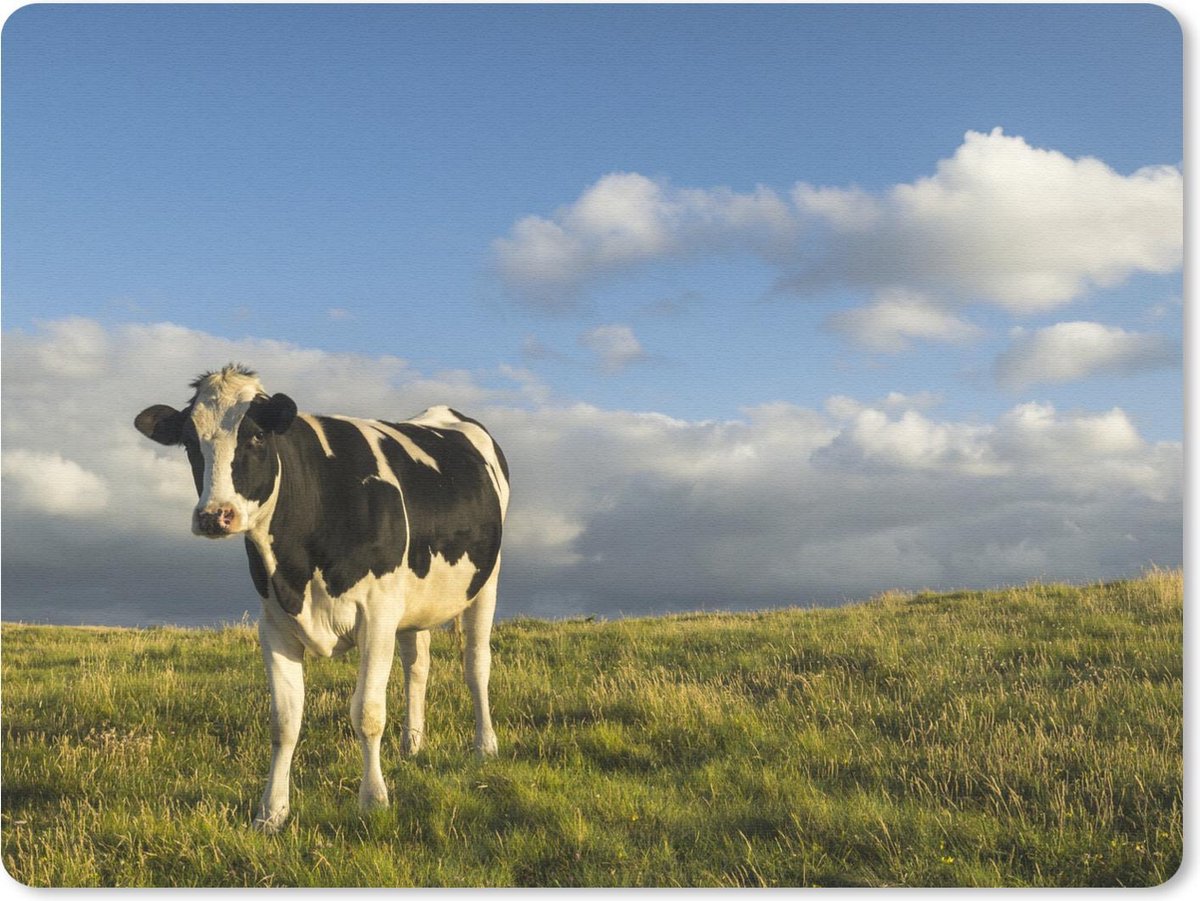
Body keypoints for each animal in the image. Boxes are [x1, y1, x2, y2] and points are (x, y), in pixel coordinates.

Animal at [134, 364, 509, 832]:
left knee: (476, 665)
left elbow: (367, 713)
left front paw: (374, 801)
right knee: (417, 666)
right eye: (189, 442)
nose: (215, 516)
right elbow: (284, 721)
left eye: (256, 437)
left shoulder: (378, 616)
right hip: (415, 602)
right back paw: (412, 744)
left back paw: (485, 746)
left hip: (486, 582)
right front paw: (271, 812)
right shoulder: (274, 624)